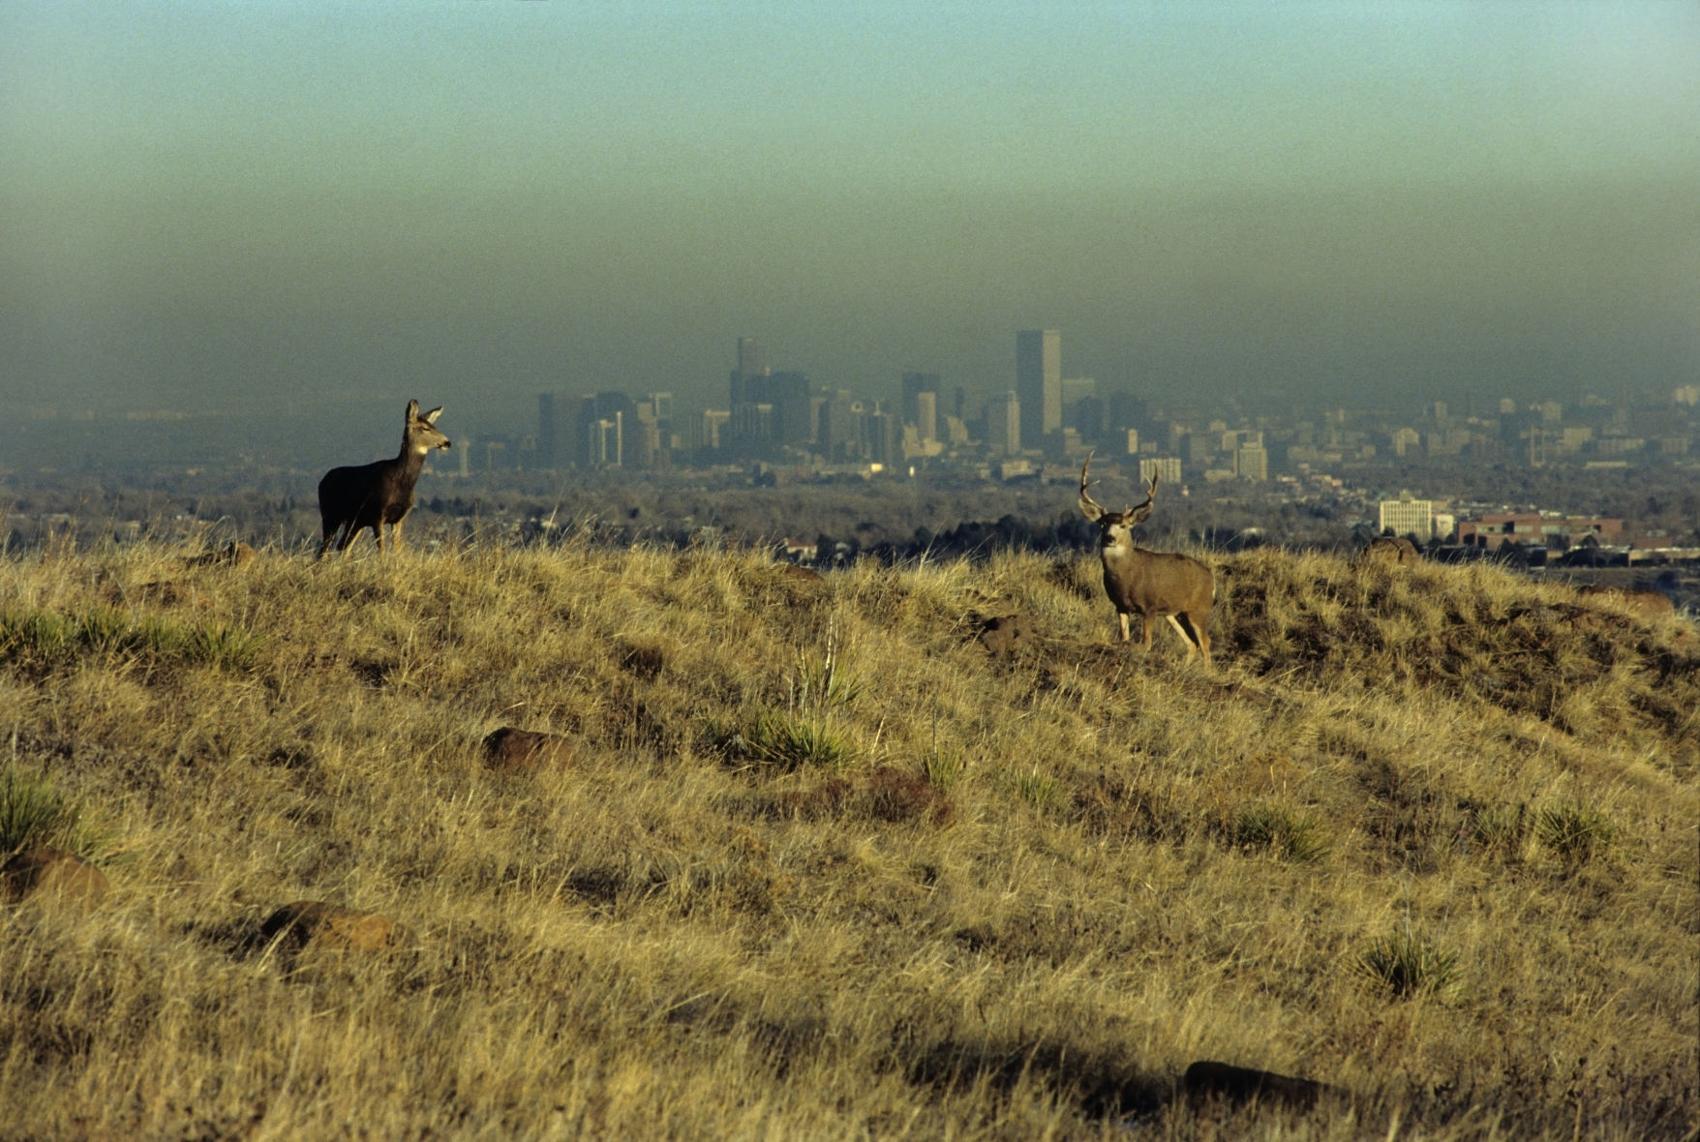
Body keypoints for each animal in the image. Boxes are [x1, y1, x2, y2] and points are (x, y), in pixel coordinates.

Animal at [317, 399, 450, 558]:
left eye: (434, 426)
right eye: (425, 428)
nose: (447, 442)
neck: (401, 482)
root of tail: (322, 481)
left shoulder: (399, 518)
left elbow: (398, 551)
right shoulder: (377, 515)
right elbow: (382, 552)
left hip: (355, 521)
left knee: (342, 546)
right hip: (330, 514)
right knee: (324, 549)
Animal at [1077, 452, 1215, 662]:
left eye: (1124, 525)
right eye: (1102, 524)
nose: (1110, 538)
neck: (1126, 578)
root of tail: (1211, 578)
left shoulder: (1150, 606)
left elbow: (1145, 644)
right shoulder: (1120, 606)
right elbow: (1124, 638)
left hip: (1199, 608)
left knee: (1205, 643)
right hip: (1173, 612)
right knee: (1192, 644)